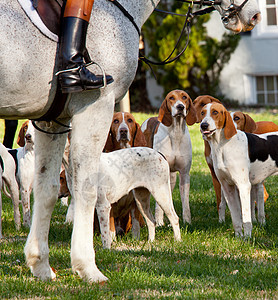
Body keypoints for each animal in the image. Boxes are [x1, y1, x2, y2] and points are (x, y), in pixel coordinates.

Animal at [0, 0, 260, 282]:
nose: (254, 15)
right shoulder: (94, 106)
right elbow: (85, 192)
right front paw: (86, 266)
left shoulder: (52, 121)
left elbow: (47, 192)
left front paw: (43, 265)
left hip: (153, 192)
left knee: (164, 217)